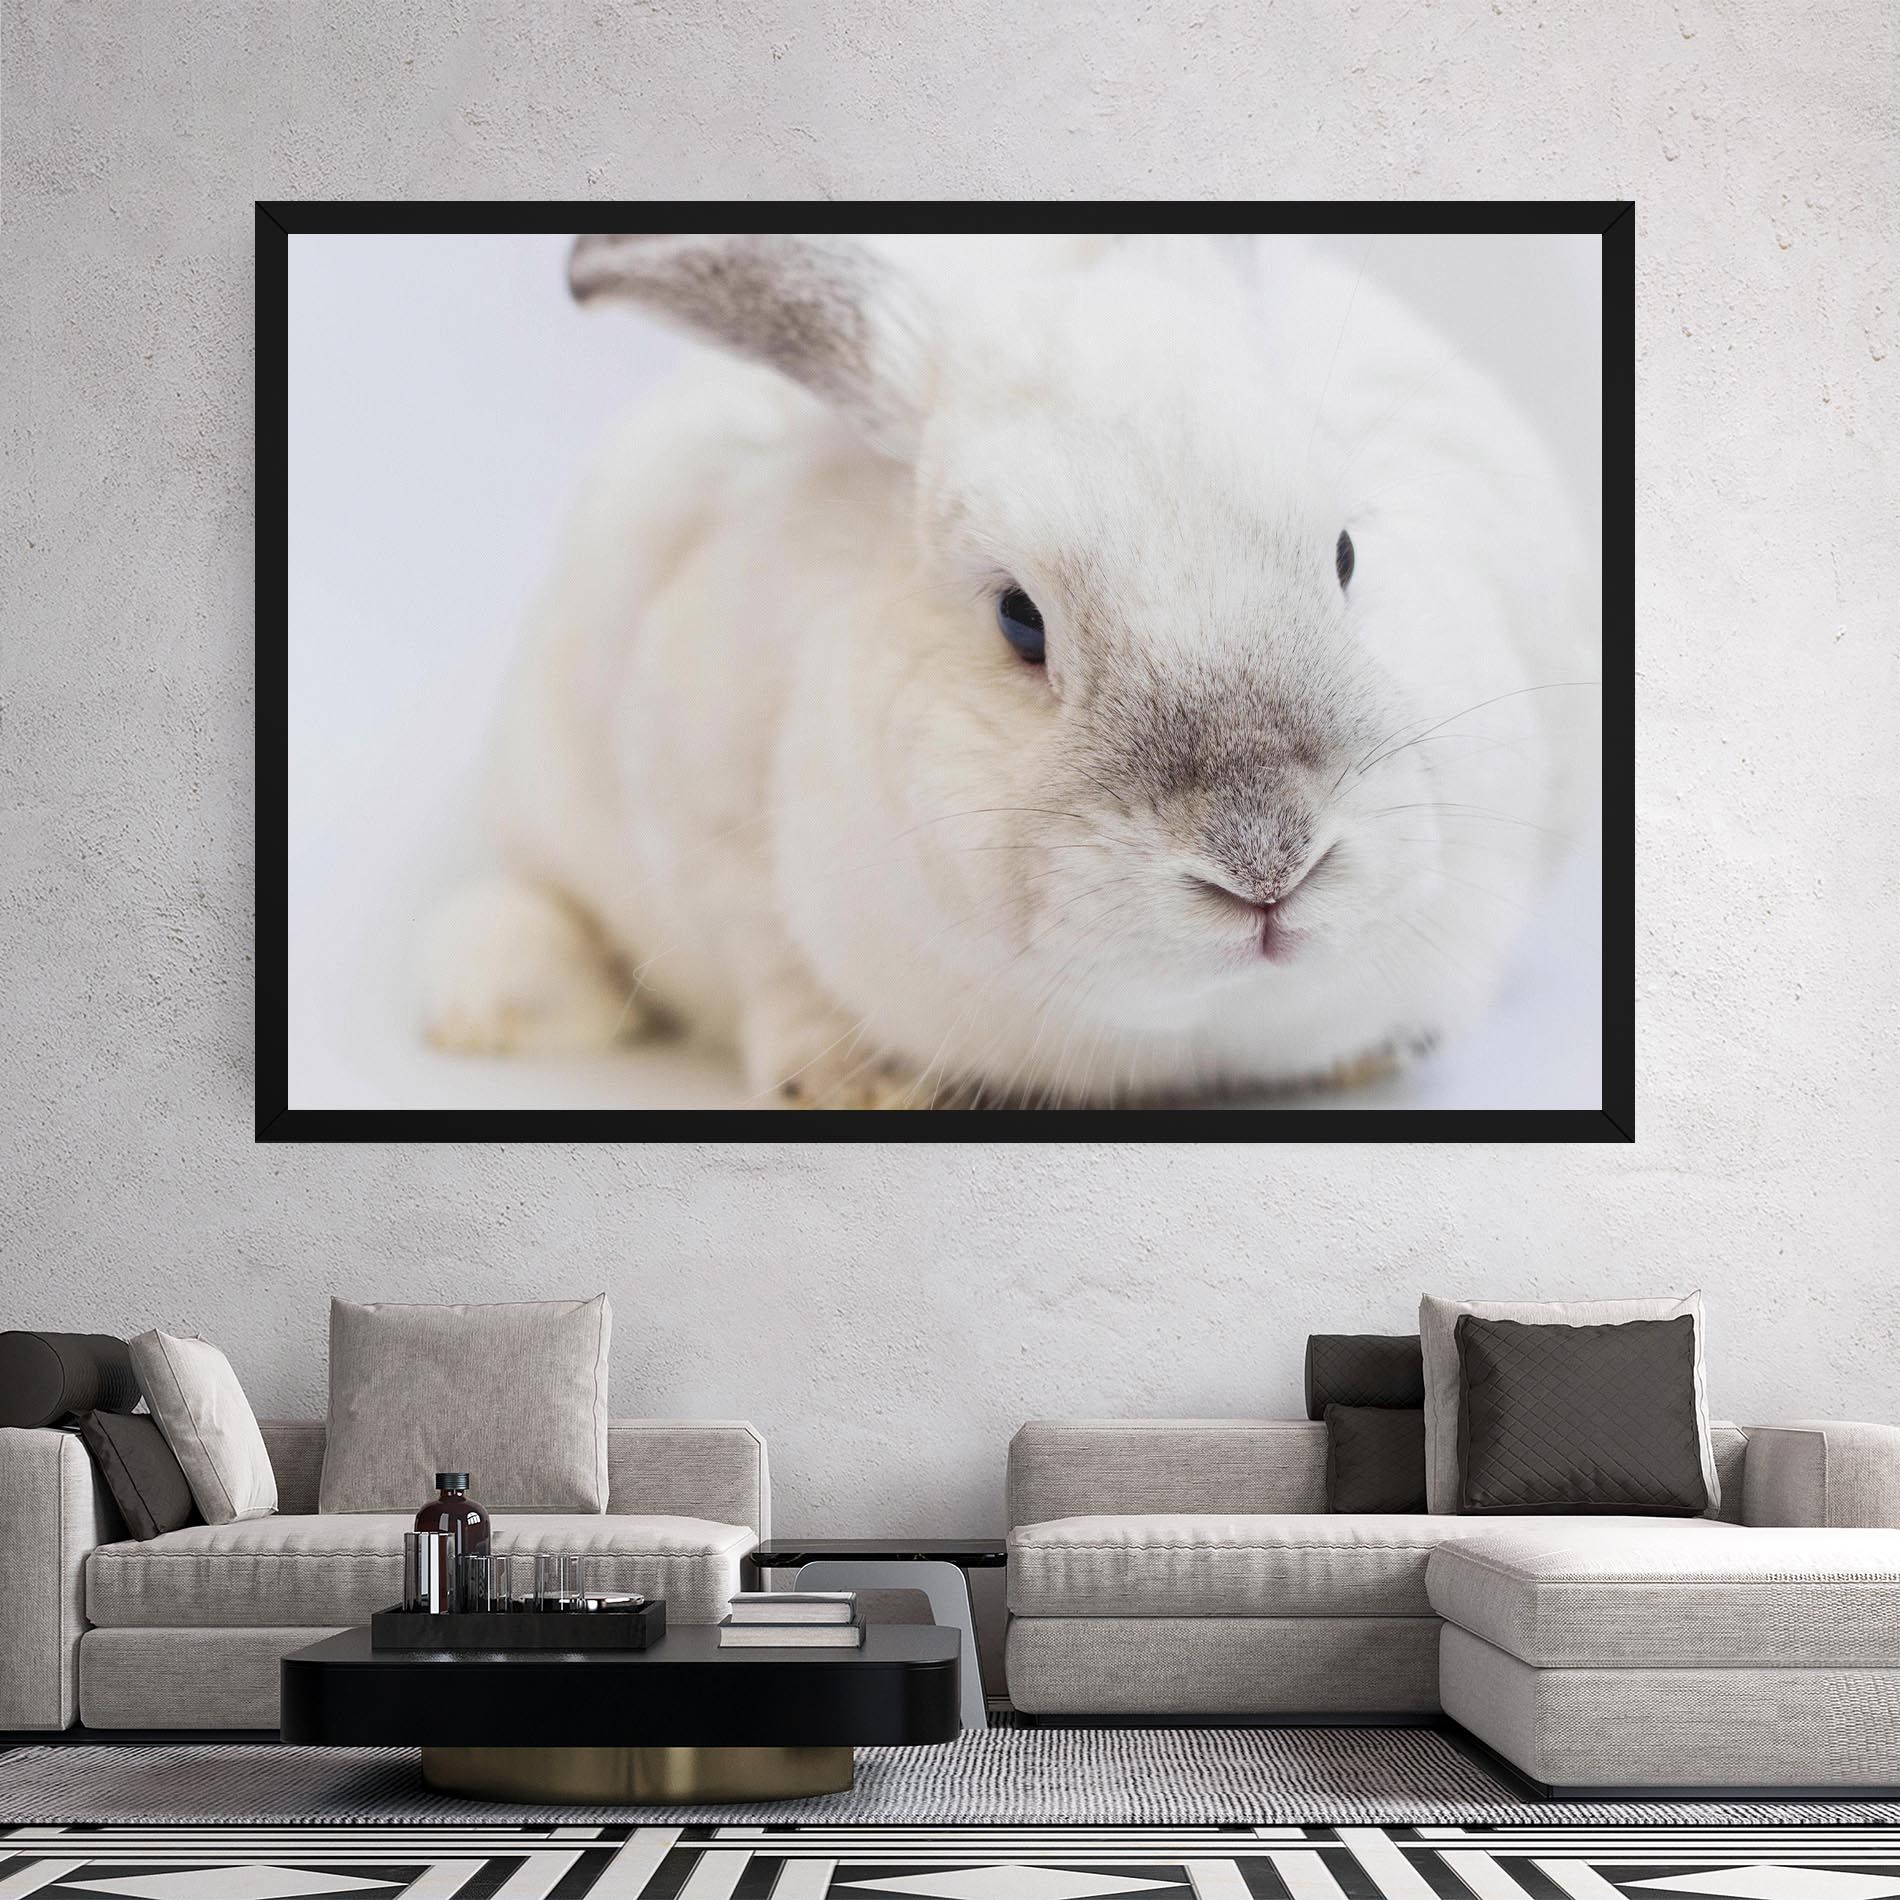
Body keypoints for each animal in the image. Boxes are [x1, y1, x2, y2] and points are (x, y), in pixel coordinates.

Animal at [419, 232, 1599, 1108]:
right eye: (1019, 619)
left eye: (1347, 553)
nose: (1266, 864)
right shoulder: (706, 832)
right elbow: (774, 970)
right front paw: (855, 1081)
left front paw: (1372, 1051)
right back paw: (486, 1010)